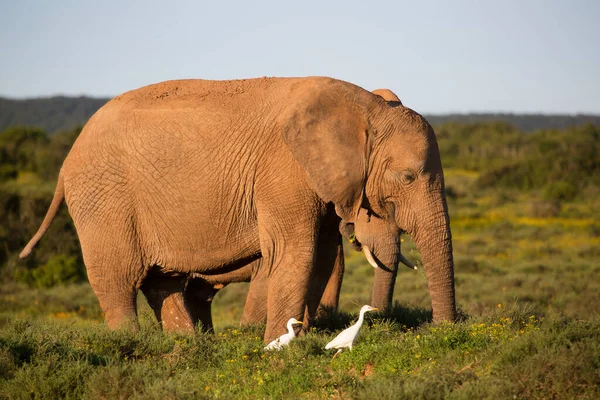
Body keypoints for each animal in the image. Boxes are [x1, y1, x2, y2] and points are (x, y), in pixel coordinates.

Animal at [21, 76, 458, 342]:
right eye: (407, 177)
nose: (444, 332)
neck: (365, 108)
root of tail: (67, 159)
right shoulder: (283, 171)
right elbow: (294, 253)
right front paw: (279, 346)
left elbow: (320, 257)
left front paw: (297, 338)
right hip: (103, 198)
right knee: (118, 281)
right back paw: (132, 345)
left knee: (162, 282)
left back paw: (190, 348)